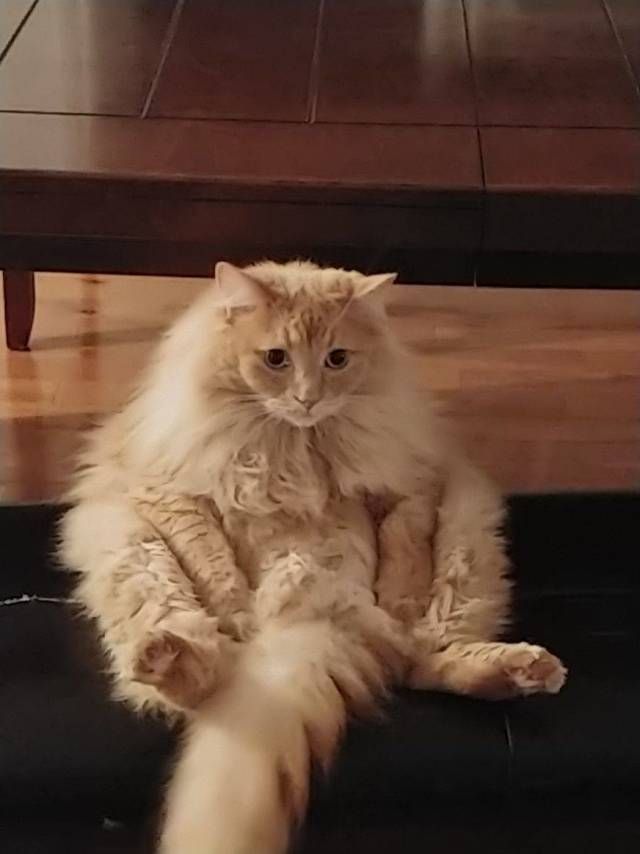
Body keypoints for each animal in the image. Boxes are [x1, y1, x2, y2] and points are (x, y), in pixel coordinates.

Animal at [60, 260, 566, 854]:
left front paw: (399, 604)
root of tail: (313, 622)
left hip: (466, 542)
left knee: (419, 659)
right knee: (207, 673)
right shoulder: (173, 496)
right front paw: (240, 613)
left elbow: (404, 554)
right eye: (276, 359)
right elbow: (215, 567)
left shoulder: (409, 488)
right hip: (137, 559)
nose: (307, 399)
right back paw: (173, 653)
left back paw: (523, 668)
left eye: (337, 360)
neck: (294, 446)